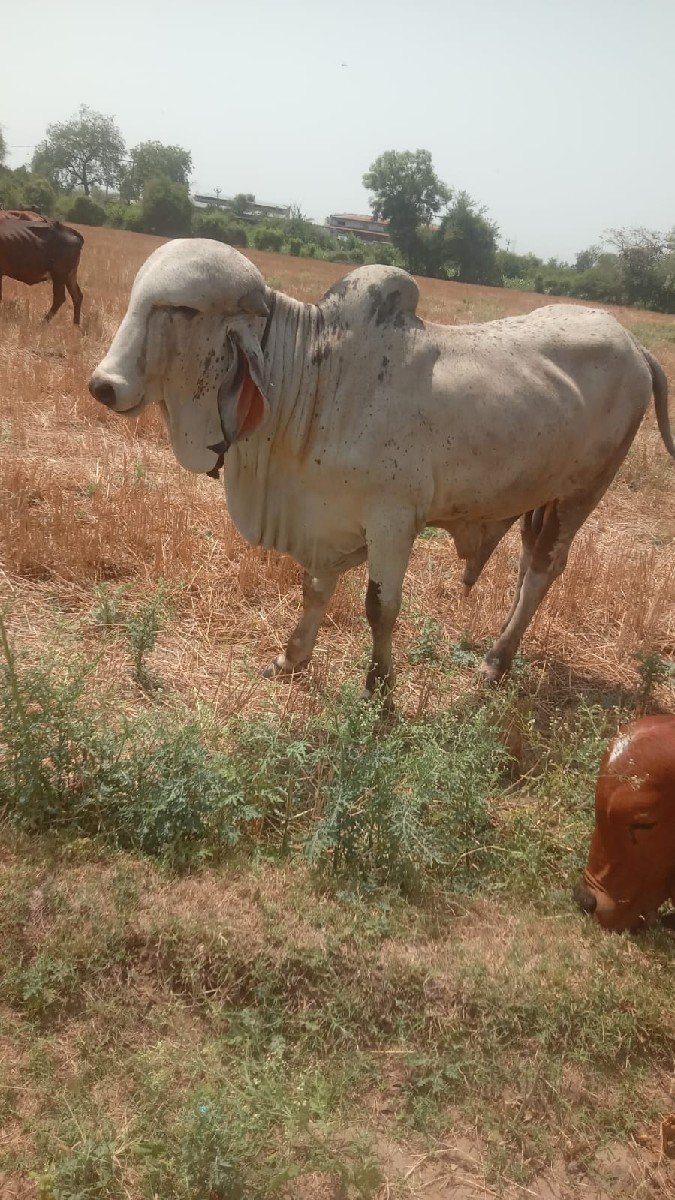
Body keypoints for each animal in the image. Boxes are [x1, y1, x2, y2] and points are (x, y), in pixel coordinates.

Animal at [88, 240, 675, 700]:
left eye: (183, 310)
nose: (103, 385)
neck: (314, 379)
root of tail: (636, 345)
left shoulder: (393, 522)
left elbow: (380, 607)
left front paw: (381, 691)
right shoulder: (326, 520)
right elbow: (315, 589)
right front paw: (290, 659)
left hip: (582, 493)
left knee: (542, 571)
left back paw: (495, 663)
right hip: (542, 498)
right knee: (530, 564)